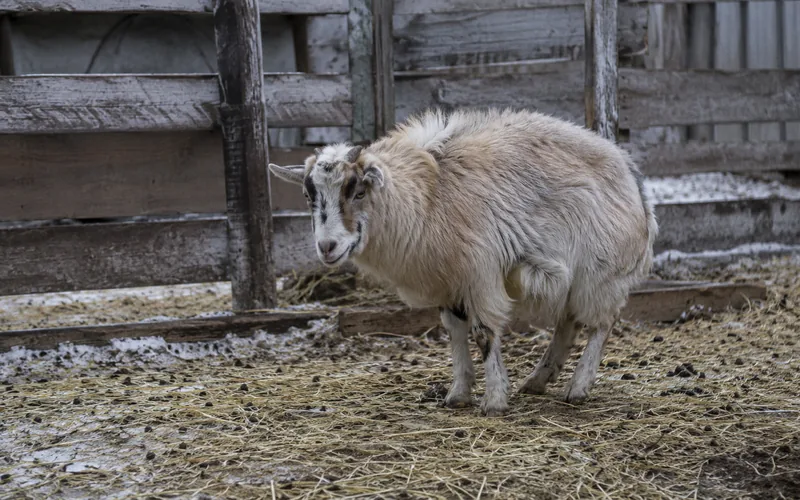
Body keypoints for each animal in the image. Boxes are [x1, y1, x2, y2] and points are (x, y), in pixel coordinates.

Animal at [269, 108, 658, 417]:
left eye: (359, 191)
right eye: (308, 195)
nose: (327, 246)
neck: (426, 197)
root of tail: (632, 176)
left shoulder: (479, 275)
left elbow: (484, 333)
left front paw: (494, 400)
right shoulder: (448, 283)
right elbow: (455, 333)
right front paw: (459, 394)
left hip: (601, 273)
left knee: (601, 324)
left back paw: (577, 387)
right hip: (575, 279)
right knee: (570, 323)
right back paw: (537, 380)